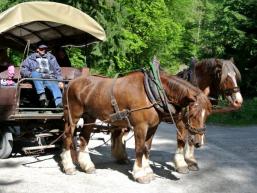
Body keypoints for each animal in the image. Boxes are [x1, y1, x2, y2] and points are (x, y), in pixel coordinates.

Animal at [61, 70, 211, 184]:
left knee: (84, 138)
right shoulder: (140, 126)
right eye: (192, 114)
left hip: (89, 117)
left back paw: (87, 165)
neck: (152, 92)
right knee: (68, 138)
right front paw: (140, 174)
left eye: (208, 114)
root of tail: (71, 83)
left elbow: (147, 148)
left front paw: (148, 170)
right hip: (73, 117)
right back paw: (69, 166)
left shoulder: (153, 127)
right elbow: (139, 149)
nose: (198, 142)